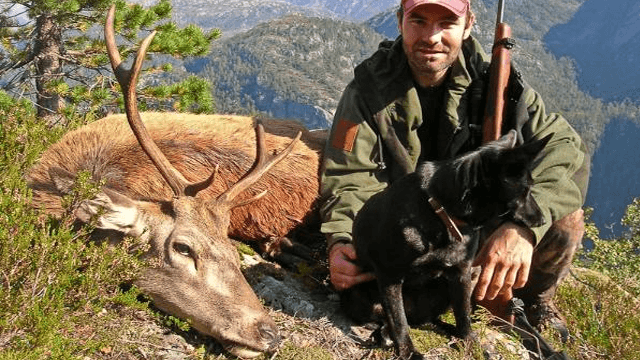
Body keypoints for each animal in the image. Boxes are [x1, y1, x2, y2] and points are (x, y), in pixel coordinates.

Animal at [344, 131, 552, 358]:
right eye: (526, 190)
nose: (543, 220)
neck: (443, 214)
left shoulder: (462, 273)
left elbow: (463, 315)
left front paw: (470, 342)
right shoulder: (389, 277)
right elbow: (398, 321)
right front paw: (408, 352)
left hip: (471, 276)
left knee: (425, 320)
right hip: (359, 298)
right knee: (392, 319)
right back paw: (385, 334)